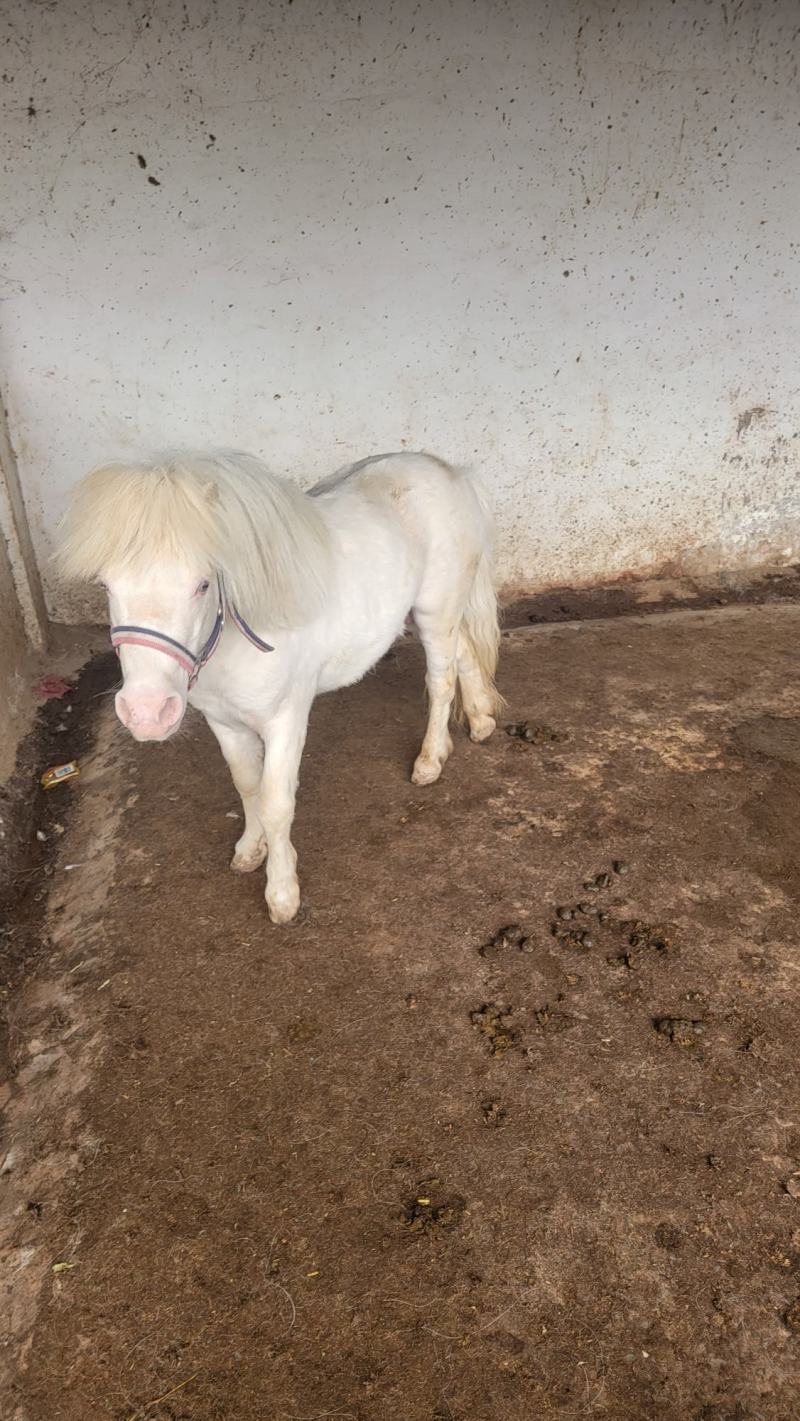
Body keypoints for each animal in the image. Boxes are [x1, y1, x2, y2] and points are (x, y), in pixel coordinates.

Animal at [58, 449, 503, 923]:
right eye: (105, 585)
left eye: (202, 584)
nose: (146, 713)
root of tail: (449, 471)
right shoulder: (225, 723)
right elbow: (248, 787)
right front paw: (251, 851)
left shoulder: (285, 722)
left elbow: (276, 804)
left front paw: (282, 892)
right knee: (464, 655)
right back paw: (480, 722)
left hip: (435, 613)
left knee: (440, 682)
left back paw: (430, 762)